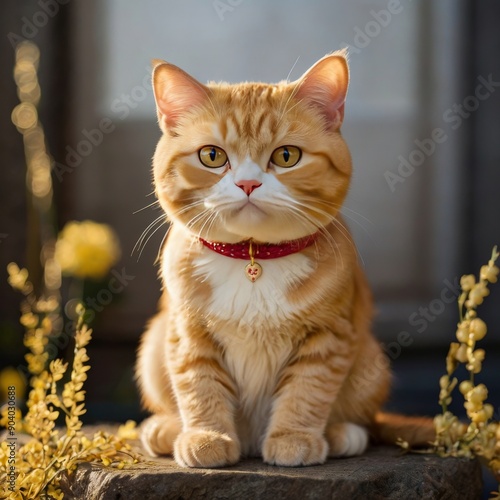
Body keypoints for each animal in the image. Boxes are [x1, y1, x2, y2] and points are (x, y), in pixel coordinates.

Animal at [137, 51, 434, 468]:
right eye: (212, 156)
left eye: (286, 156)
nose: (247, 183)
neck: (253, 257)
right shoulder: (187, 332)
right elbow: (198, 386)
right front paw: (207, 436)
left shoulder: (329, 337)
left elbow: (307, 390)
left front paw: (294, 438)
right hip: (154, 344)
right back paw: (165, 428)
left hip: (371, 362)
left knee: (365, 418)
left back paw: (343, 434)